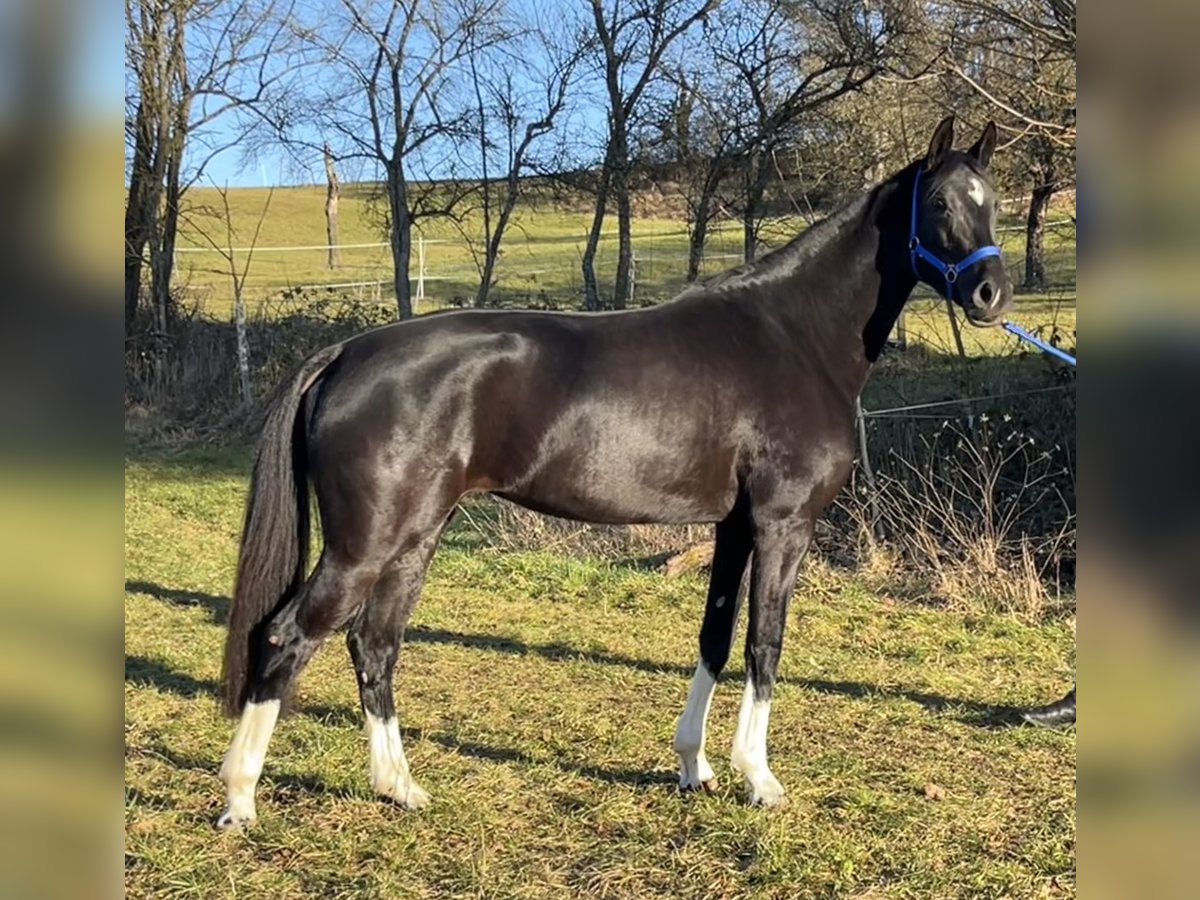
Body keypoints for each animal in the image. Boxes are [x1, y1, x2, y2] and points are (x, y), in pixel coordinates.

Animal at [216, 116, 1012, 830]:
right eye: (941, 203)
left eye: (994, 202)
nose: (990, 294)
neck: (794, 337)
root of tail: (347, 352)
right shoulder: (782, 524)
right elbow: (765, 643)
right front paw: (759, 779)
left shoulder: (731, 527)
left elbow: (714, 638)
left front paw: (695, 767)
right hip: (365, 544)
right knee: (289, 636)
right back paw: (240, 799)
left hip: (416, 536)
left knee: (374, 644)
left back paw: (399, 788)